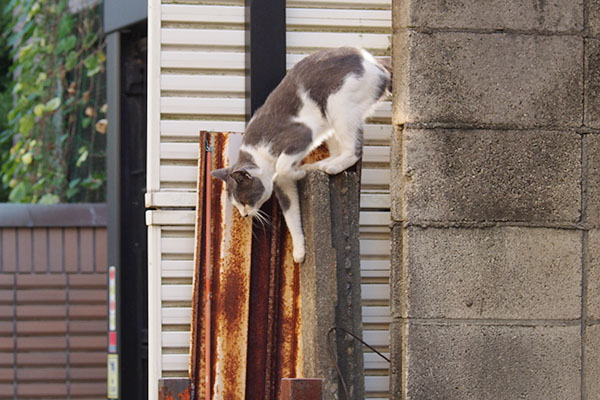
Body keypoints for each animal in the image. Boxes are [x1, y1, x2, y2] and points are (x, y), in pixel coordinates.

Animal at [213, 46, 392, 262]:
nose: (245, 215)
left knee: (354, 150)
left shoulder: (301, 134)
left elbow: (283, 166)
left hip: (337, 103)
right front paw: (299, 250)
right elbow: (291, 214)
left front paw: (298, 172)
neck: (260, 156)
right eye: (238, 204)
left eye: (244, 201)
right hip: (331, 118)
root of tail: (373, 60)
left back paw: (332, 166)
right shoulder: (282, 185)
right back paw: (319, 164)